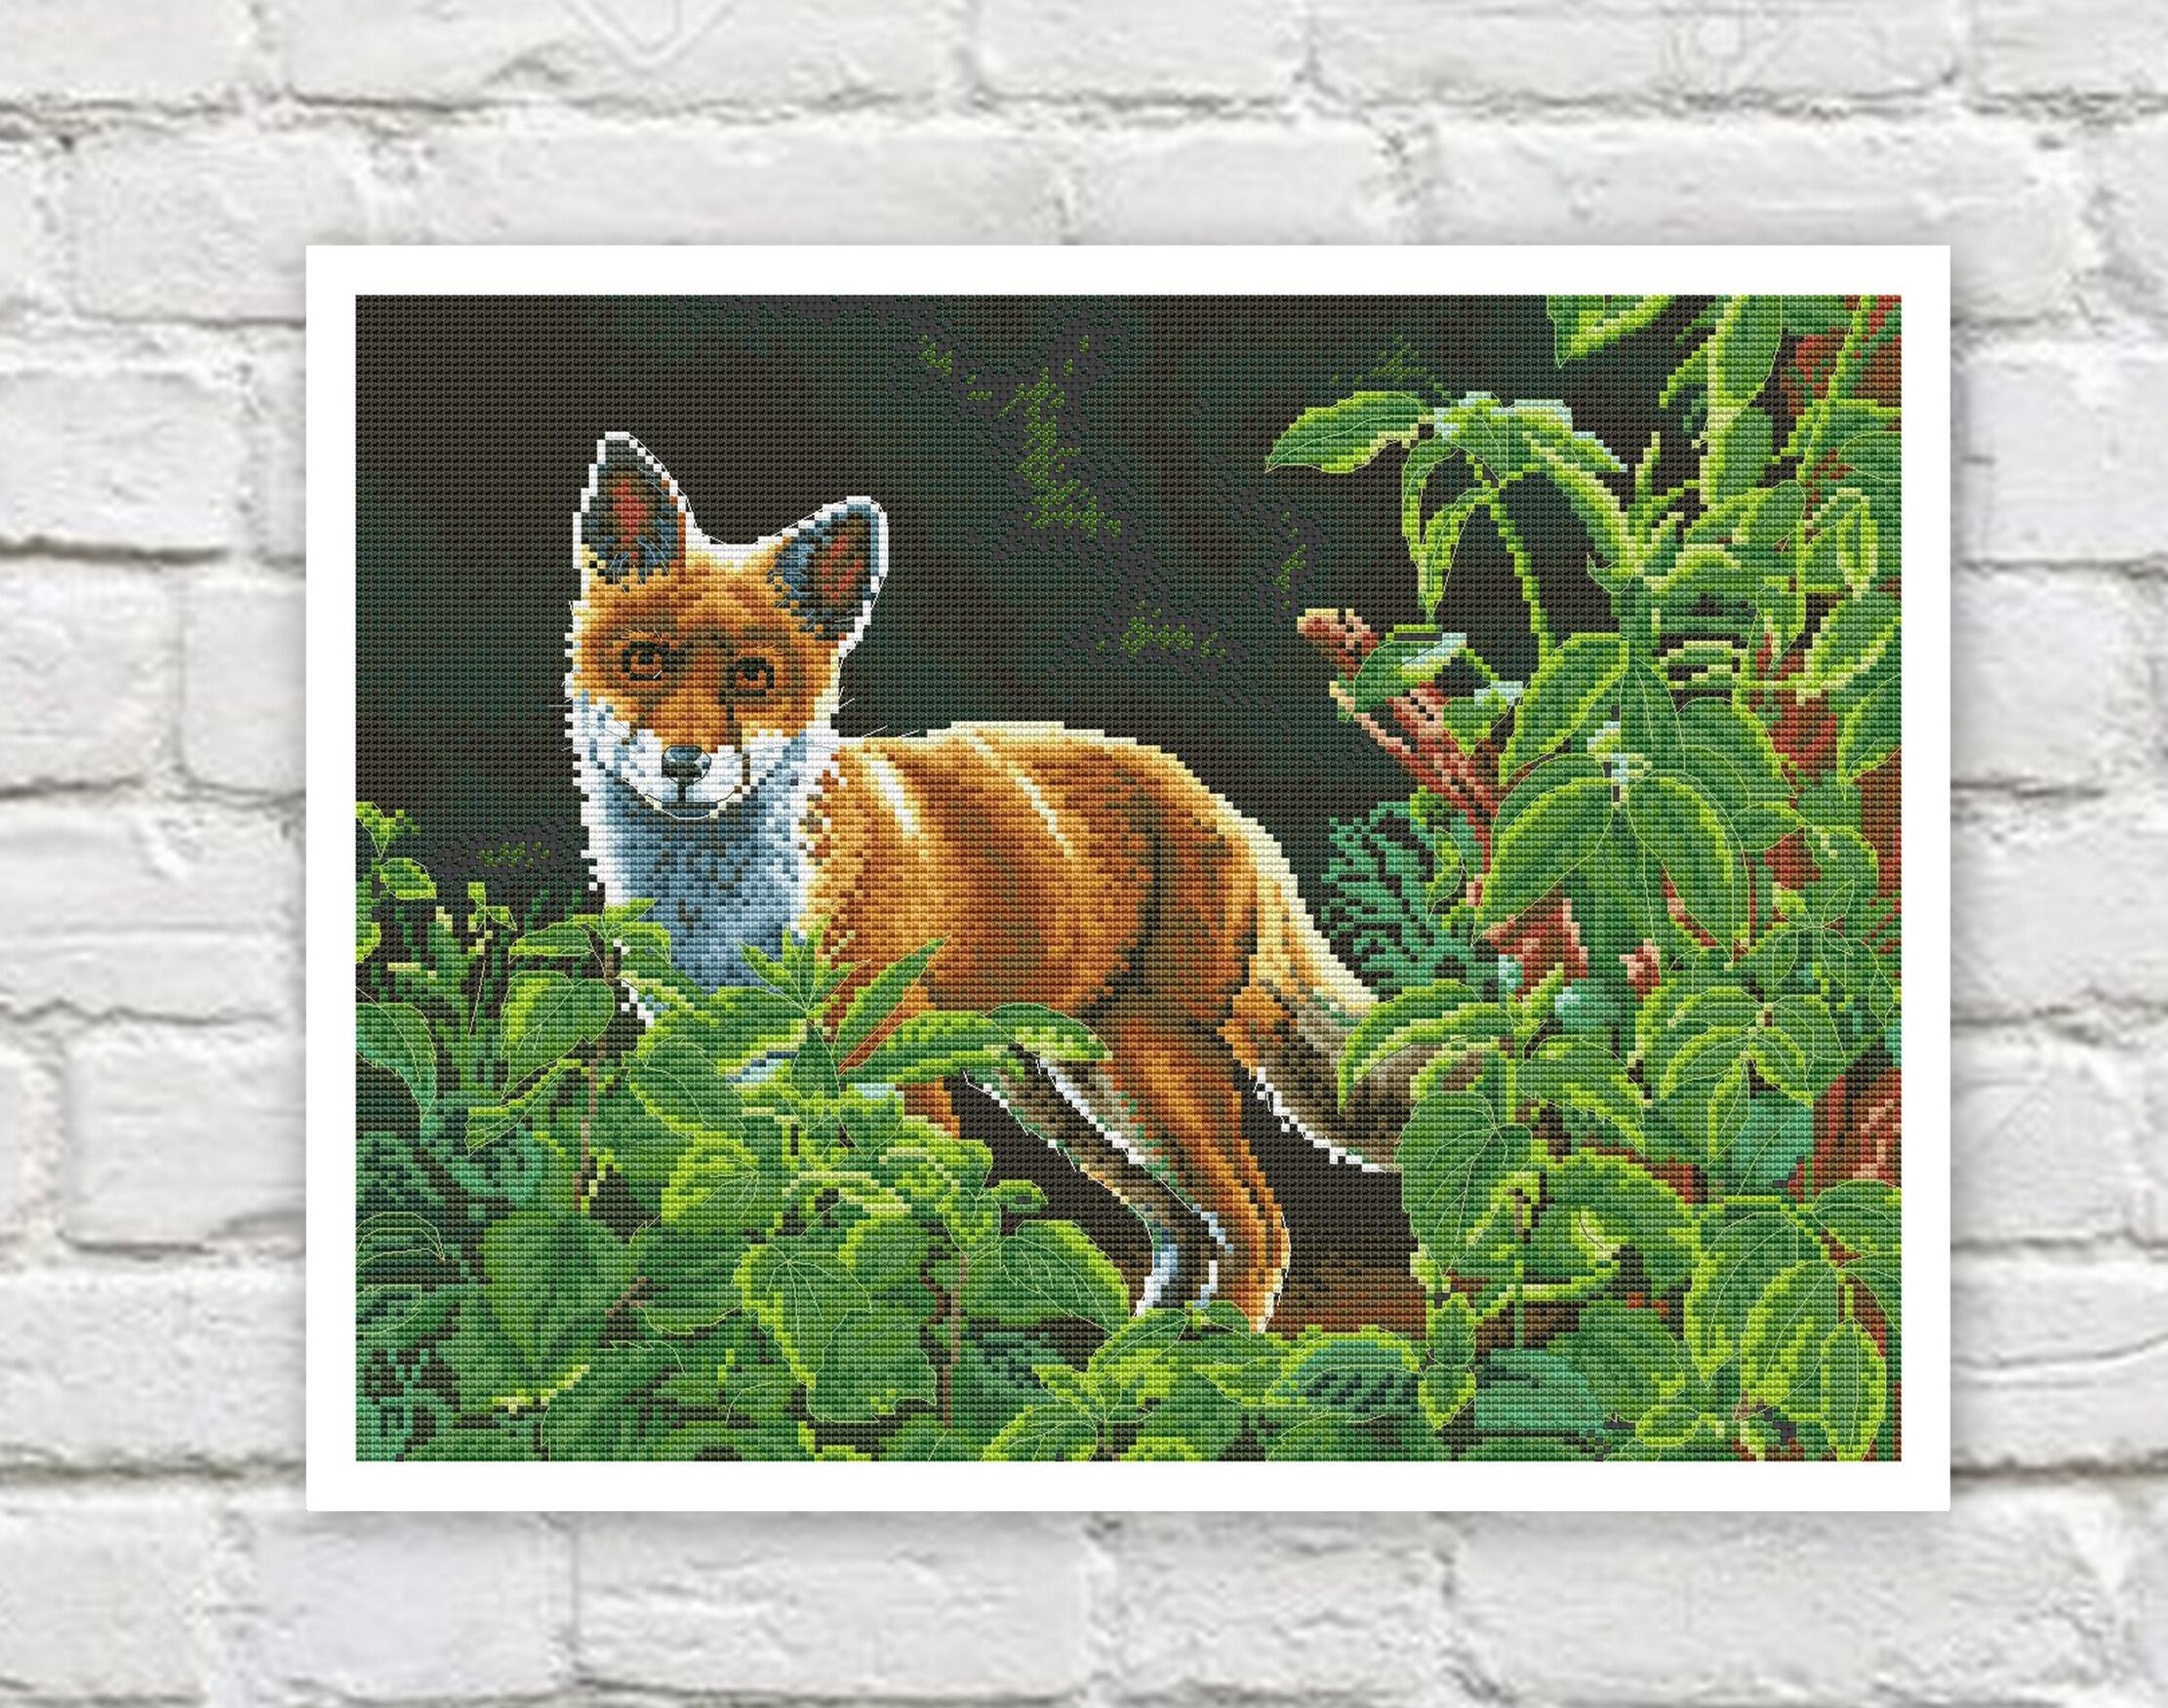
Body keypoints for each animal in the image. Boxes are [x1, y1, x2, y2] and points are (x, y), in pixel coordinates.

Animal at [566, 431, 1404, 1327]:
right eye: (644, 661)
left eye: (754, 677)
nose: (684, 765)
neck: (720, 910)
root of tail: (1223, 805)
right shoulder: (728, 1074)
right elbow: (769, 1218)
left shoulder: (891, 1068)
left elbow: (909, 1238)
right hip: (1058, 1089)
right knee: (1181, 1227)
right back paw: (1131, 1357)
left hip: (1147, 1070)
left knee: (1256, 1227)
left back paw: (1215, 1357)